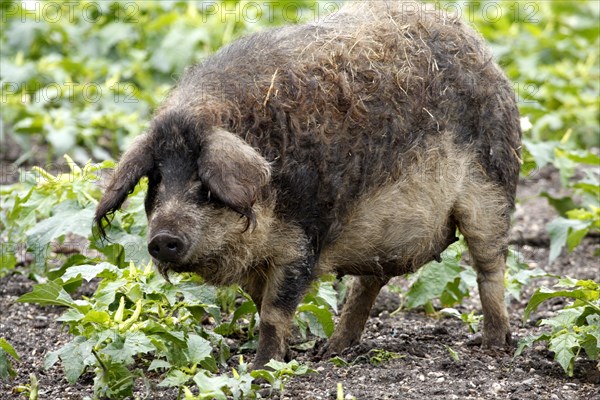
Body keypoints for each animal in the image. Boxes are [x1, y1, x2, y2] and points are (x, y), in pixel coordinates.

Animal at [94, 0, 520, 368]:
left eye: (204, 184)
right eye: (156, 180)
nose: (162, 238)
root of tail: (480, 47)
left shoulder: (300, 242)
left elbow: (273, 312)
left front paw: (261, 368)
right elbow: (260, 304)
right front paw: (285, 356)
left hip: (493, 188)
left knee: (490, 266)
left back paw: (492, 345)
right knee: (370, 281)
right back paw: (331, 350)